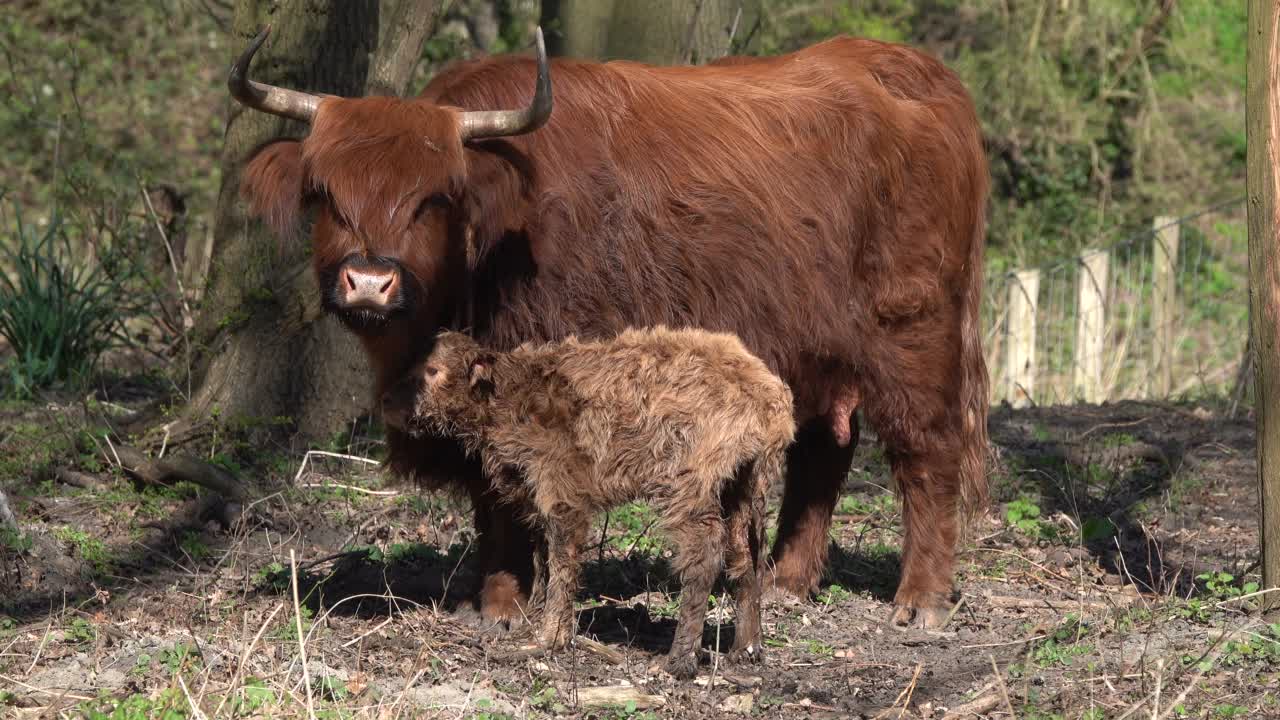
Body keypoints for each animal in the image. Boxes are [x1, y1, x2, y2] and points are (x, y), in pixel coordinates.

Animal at [381, 325, 798, 671]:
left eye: (433, 371)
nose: (387, 404)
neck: (511, 397)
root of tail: (768, 395)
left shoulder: (562, 493)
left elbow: (562, 566)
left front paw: (547, 640)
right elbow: (544, 562)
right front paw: (534, 628)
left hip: (691, 483)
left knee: (703, 557)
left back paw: (679, 660)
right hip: (744, 486)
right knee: (746, 559)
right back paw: (746, 648)